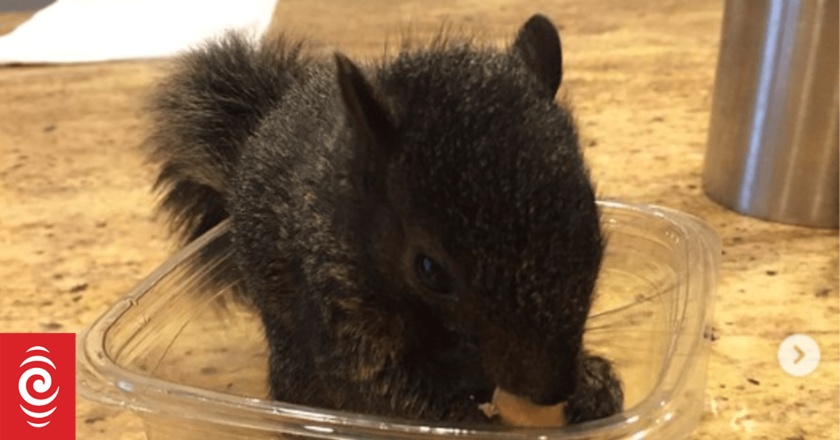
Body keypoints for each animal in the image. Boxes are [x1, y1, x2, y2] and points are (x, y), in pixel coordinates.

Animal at [144, 14, 623, 425]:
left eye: (592, 222)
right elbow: (381, 388)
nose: (552, 390)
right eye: (428, 269)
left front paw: (595, 384)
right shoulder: (338, 303)